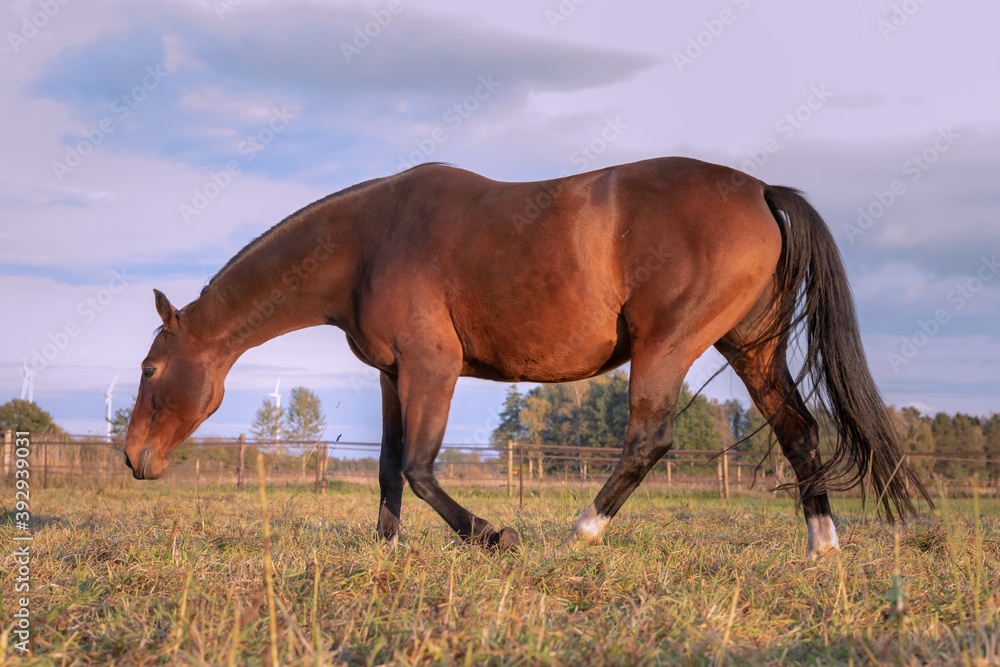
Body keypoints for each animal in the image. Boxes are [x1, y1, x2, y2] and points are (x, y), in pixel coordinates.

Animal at [124, 157, 930, 558]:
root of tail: (762, 191)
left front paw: (494, 535)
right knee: (800, 431)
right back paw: (821, 547)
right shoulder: (392, 373)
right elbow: (387, 467)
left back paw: (578, 533)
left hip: (669, 346)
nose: (134, 459)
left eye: (150, 371)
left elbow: (419, 467)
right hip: (752, 347)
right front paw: (386, 549)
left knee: (649, 438)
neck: (369, 240)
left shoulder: (432, 366)